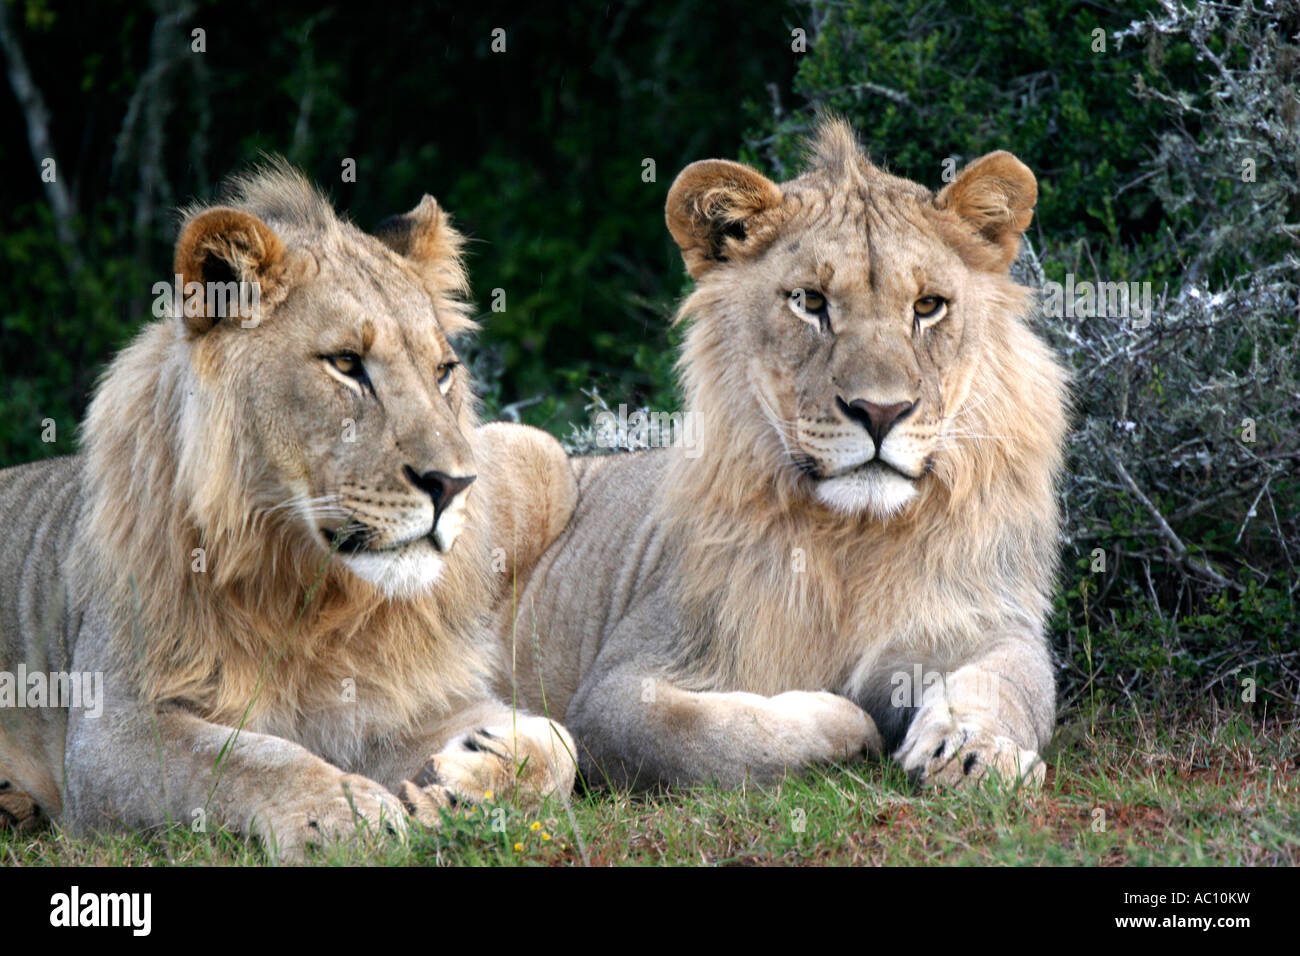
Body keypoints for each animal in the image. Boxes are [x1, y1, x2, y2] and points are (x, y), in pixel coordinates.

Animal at [0, 163, 578, 860]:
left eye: (443, 371)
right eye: (347, 364)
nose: (453, 483)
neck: (312, 592)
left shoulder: (384, 703)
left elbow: (564, 745)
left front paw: (471, 776)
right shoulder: (110, 732)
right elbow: (245, 760)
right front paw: (347, 816)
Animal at [497, 120, 1068, 790]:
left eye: (929, 306)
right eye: (809, 302)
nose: (880, 412)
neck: (855, 540)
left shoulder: (986, 621)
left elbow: (1008, 682)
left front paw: (975, 753)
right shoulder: (618, 689)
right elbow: (712, 738)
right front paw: (846, 716)